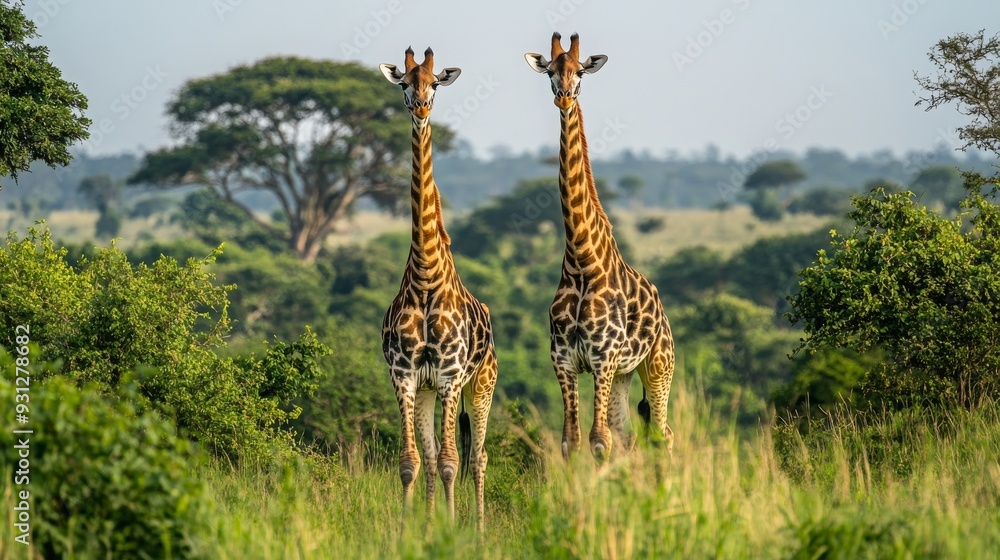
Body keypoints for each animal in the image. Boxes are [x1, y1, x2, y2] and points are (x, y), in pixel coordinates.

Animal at [525, 33, 675, 462]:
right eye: (550, 71)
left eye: (580, 72)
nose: (563, 98)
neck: (581, 260)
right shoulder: (564, 361)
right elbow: (571, 442)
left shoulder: (602, 358)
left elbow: (598, 442)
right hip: (625, 374)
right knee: (631, 435)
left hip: (658, 364)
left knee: (663, 434)